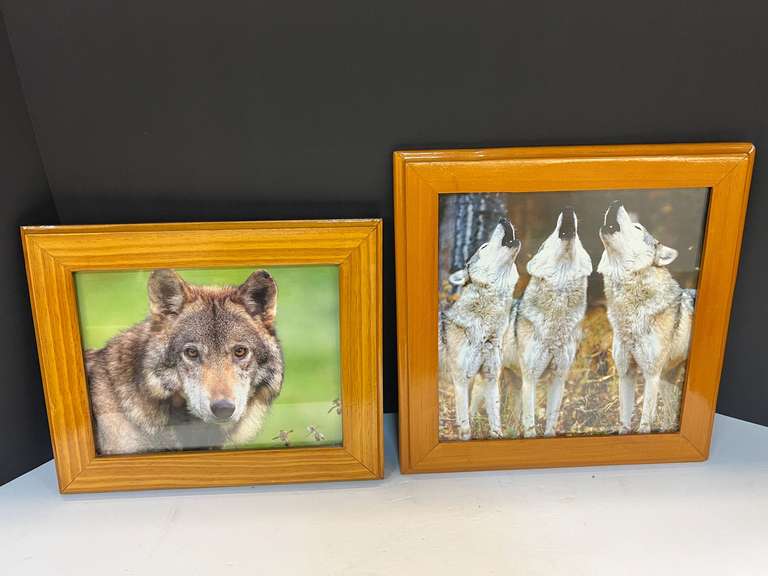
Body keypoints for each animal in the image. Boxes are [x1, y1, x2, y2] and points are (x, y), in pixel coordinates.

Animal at [441, 219, 522, 440]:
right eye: (484, 247)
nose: (504, 220)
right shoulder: (460, 380)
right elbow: (465, 426)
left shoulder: (490, 377)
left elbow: (496, 424)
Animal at [502, 207, 593, 437]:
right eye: (548, 239)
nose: (568, 209)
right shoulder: (530, 380)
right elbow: (530, 425)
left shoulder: (558, 379)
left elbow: (551, 422)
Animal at [598, 200, 694, 434]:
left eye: (638, 227)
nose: (615, 202)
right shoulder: (626, 374)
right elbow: (624, 421)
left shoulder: (651, 376)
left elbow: (644, 422)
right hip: (667, 381)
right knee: (669, 416)